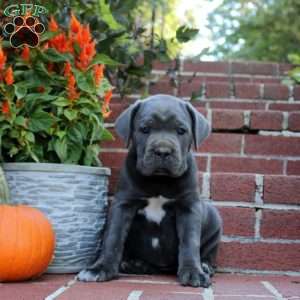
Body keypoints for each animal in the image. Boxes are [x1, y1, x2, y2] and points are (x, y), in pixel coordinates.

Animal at [78, 95, 223, 288]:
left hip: (214, 221)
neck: (159, 180)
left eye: (181, 130)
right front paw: (100, 268)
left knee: (208, 252)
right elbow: (113, 236)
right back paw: (135, 264)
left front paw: (194, 272)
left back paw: (205, 266)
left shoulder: (189, 207)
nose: (163, 151)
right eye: (145, 129)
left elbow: (190, 241)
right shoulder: (123, 204)